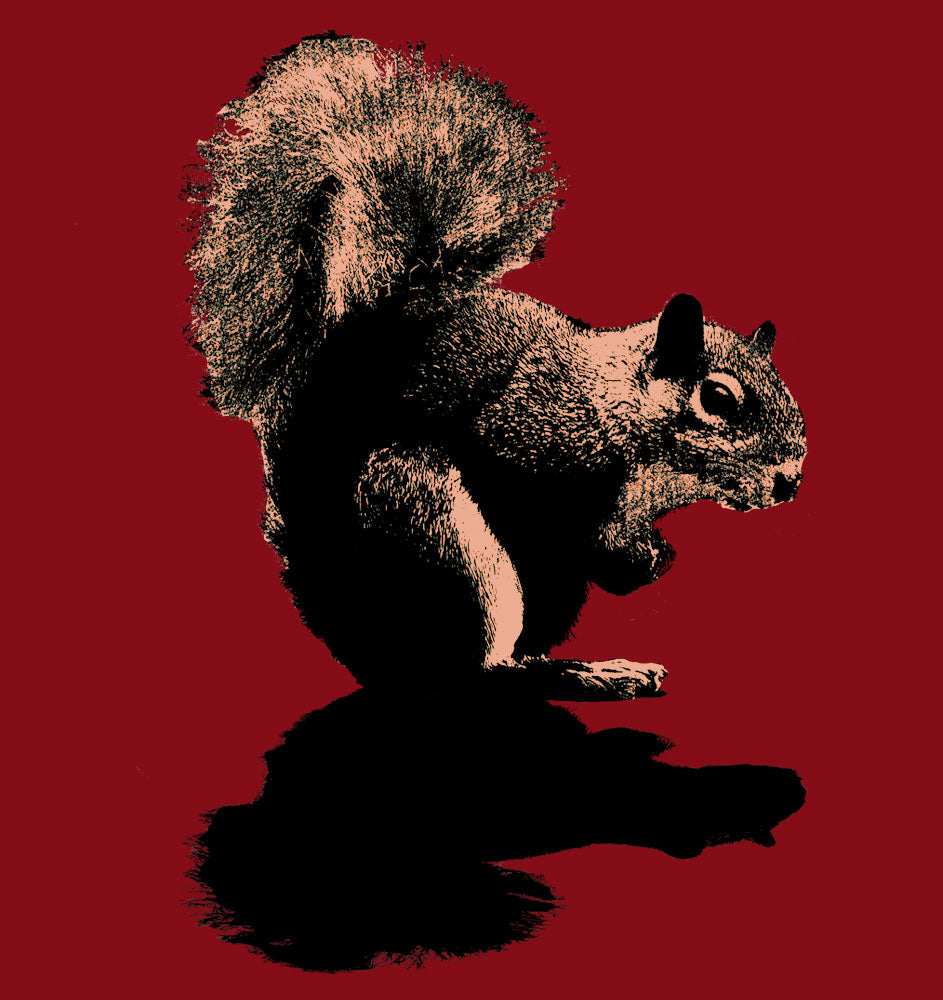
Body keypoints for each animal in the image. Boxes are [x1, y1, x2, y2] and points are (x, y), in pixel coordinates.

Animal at [187, 33, 807, 700]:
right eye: (716, 399)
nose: (790, 481)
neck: (617, 411)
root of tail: (363, 635)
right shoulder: (528, 438)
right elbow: (539, 511)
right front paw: (638, 557)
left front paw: (646, 561)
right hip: (438, 533)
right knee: (476, 669)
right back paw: (585, 673)